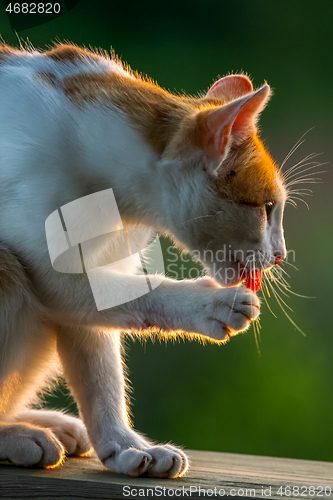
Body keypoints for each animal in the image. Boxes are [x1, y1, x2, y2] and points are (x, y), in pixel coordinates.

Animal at [0, 45, 286, 478]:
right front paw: (209, 305)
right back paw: (19, 435)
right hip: (8, 270)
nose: (281, 254)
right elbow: (135, 294)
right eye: (267, 208)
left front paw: (124, 446)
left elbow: (99, 370)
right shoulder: (53, 269)